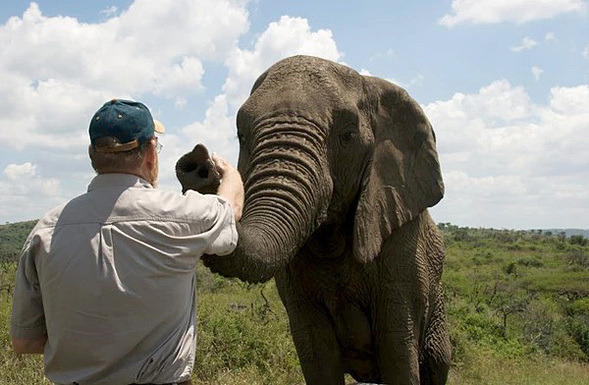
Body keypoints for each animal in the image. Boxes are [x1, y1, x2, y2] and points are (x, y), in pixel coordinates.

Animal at [175, 54, 450, 384]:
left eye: (347, 136)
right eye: (242, 135)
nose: (200, 162)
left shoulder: (403, 248)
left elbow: (398, 350)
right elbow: (317, 352)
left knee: (436, 361)